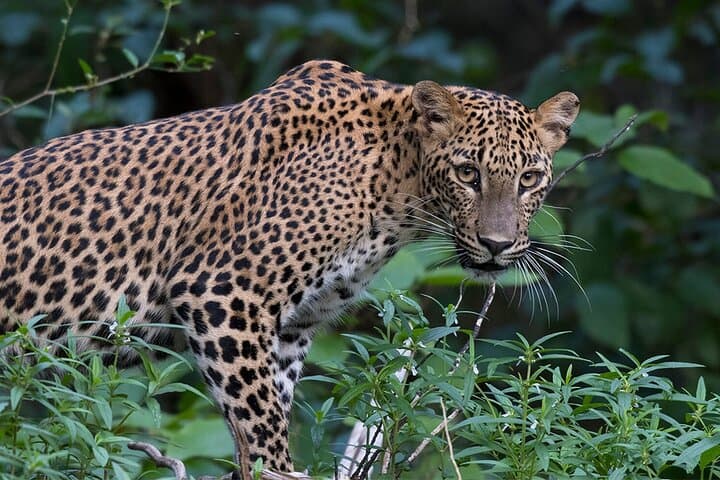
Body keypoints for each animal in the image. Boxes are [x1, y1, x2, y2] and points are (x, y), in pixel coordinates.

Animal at [0, 60, 579, 476]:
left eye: (529, 179)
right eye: (467, 173)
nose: (496, 245)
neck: (399, 185)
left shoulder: (291, 327)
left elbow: (265, 411)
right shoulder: (223, 292)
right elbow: (261, 425)